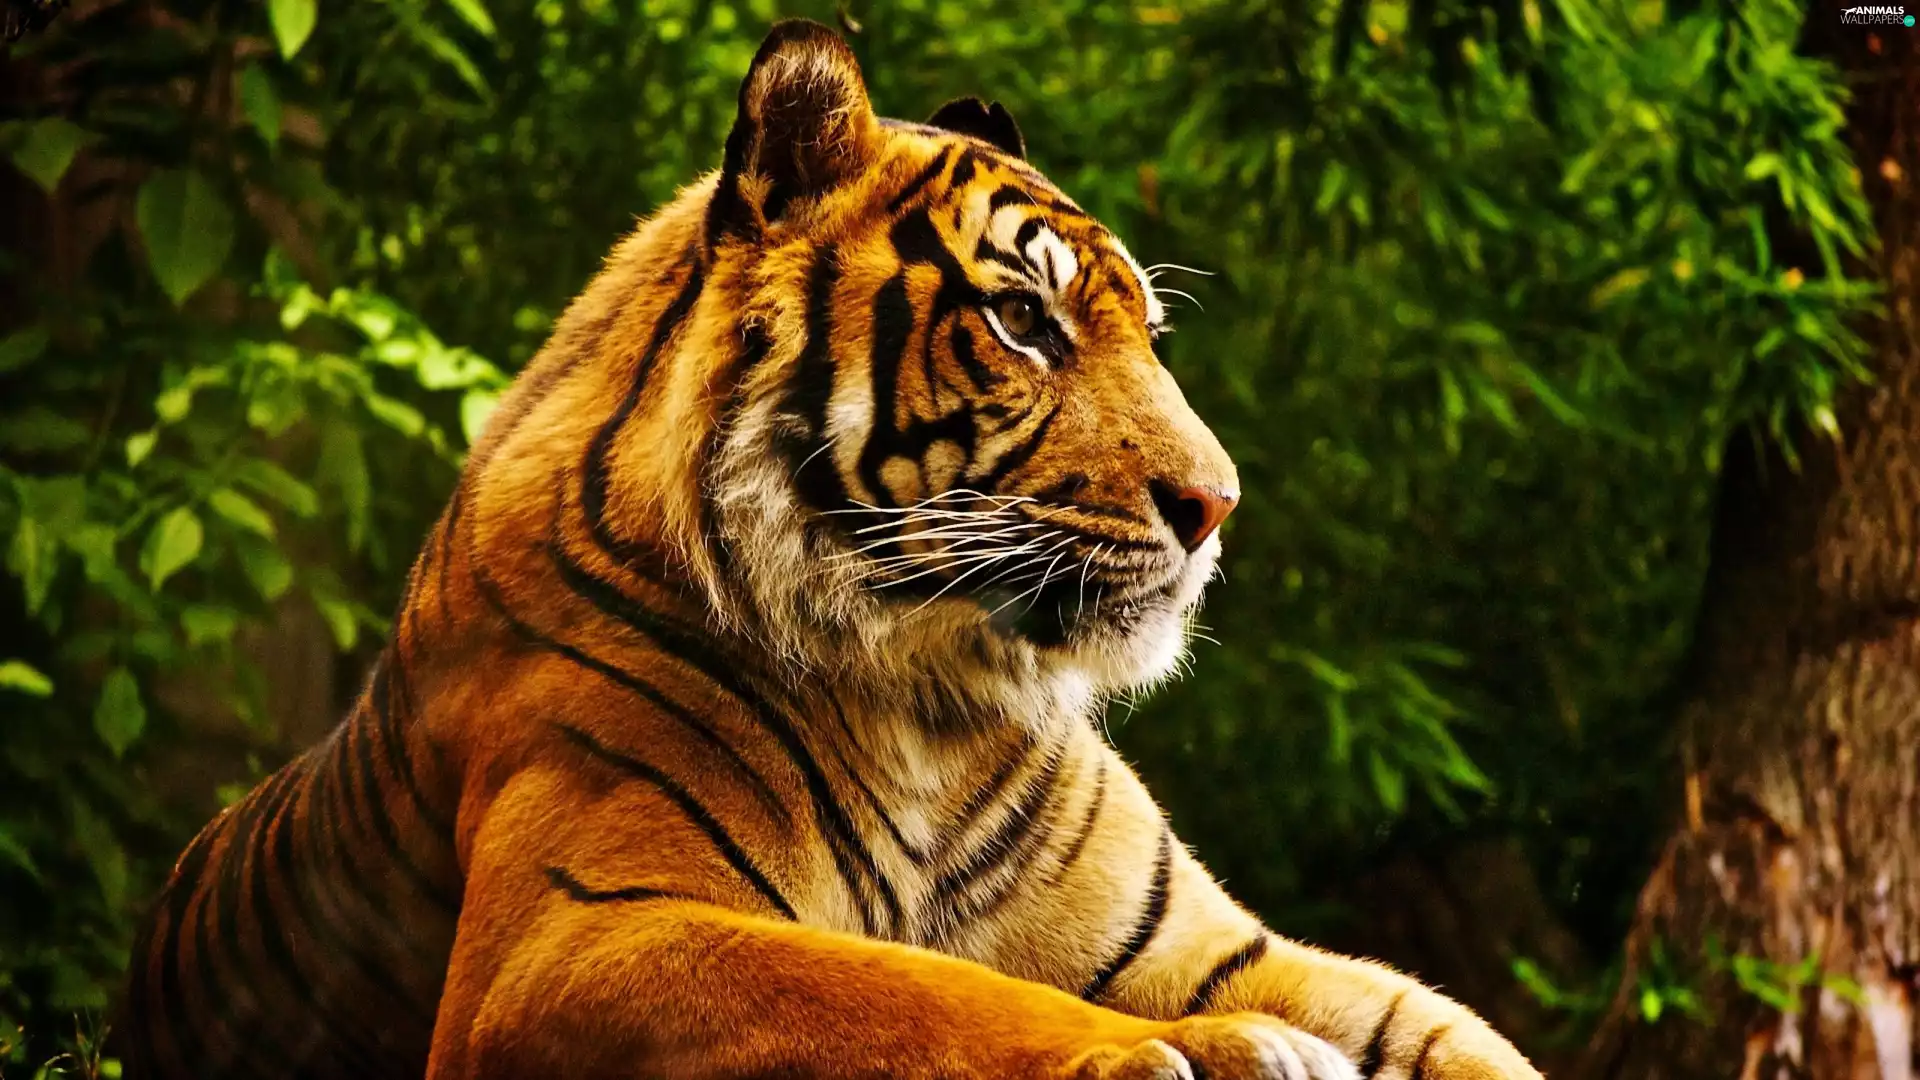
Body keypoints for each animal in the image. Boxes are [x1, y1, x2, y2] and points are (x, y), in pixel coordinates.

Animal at [119, 18, 1543, 1080]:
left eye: (1147, 332)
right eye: (1024, 322)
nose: (1218, 504)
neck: (934, 701)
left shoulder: (1216, 947)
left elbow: (1456, 1033)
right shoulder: (571, 936)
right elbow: (916, 994)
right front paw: (1208, 1051)